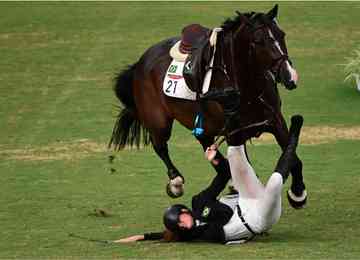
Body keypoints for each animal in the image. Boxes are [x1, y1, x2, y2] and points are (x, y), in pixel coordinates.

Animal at [109, 5, 306, 209]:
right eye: (258, 41)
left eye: (281, 34)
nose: (290, 76)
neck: (247, 90)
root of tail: (141, 61)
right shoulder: (233, 133)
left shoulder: (275, 122)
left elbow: (293, 158)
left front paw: (298, 193)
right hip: (160, 121)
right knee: (161, 146)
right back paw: (176, 182)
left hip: (203, 130)